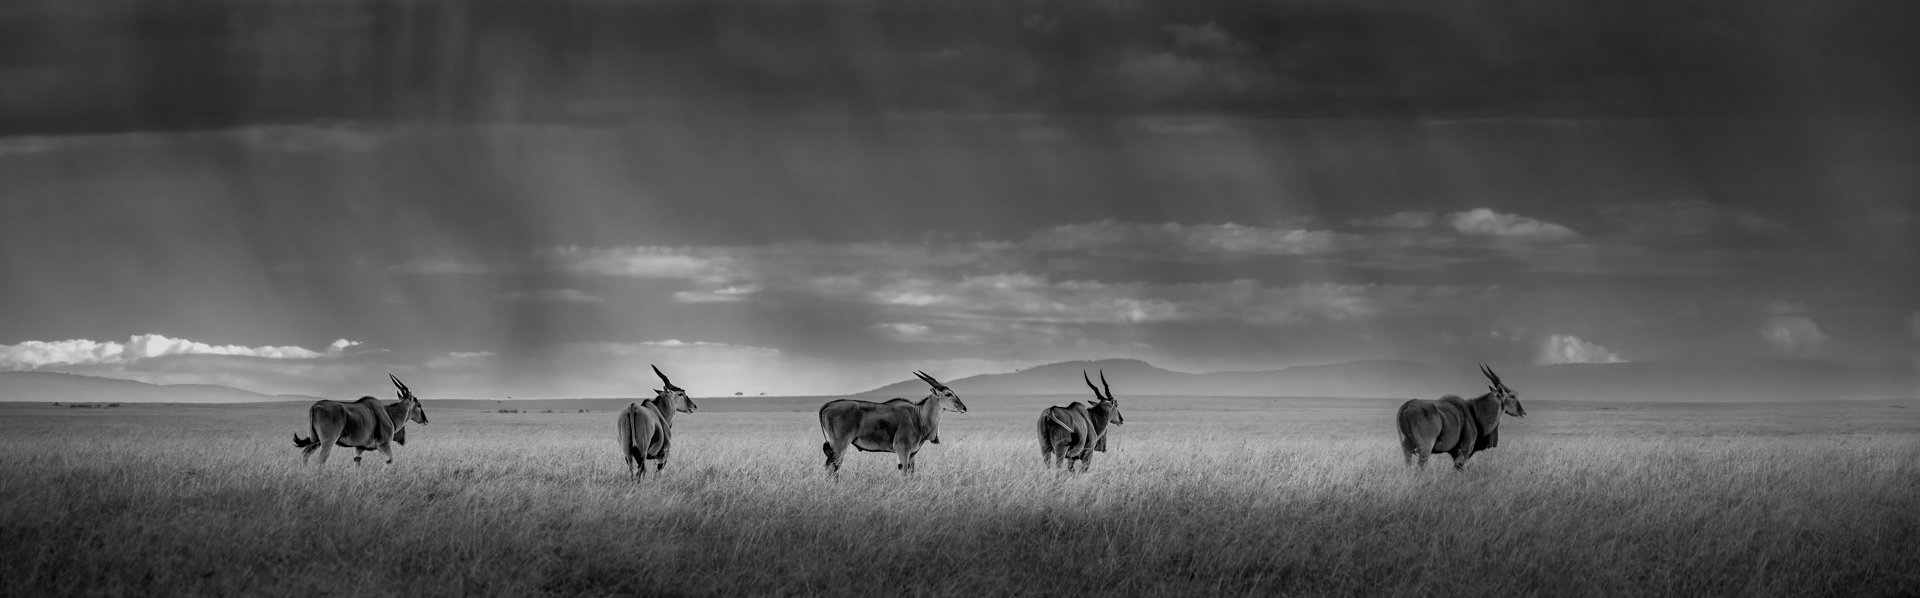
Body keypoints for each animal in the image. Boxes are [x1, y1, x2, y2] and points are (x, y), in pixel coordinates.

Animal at [291, 374, 428, 469]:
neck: (388, 413)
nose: (425, 420)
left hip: (315, 441)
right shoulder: (384, 445)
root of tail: (315, 406)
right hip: (327, 442)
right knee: (320, 461)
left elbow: (357, 464)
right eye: (419, 405)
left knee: (305, 454)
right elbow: (389, 461)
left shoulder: (358, 449)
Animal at [817, 373, 967, 474]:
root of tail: (828, 405)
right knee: (832, 467)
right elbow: (904, 473)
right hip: (840, 445)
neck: (917, 416)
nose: (964, 407)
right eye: (948, 394)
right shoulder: (902, 451)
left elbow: (911, 474)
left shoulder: (912, 454)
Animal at [1397, 363, 1528, 471]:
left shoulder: (1455, 453)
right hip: (1425, 449)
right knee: (1420, 468)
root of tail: (1406, 407)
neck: (1475, 411)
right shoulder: (1464, 451)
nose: (1523, 412)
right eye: (1513, 396)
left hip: (1406, 448)